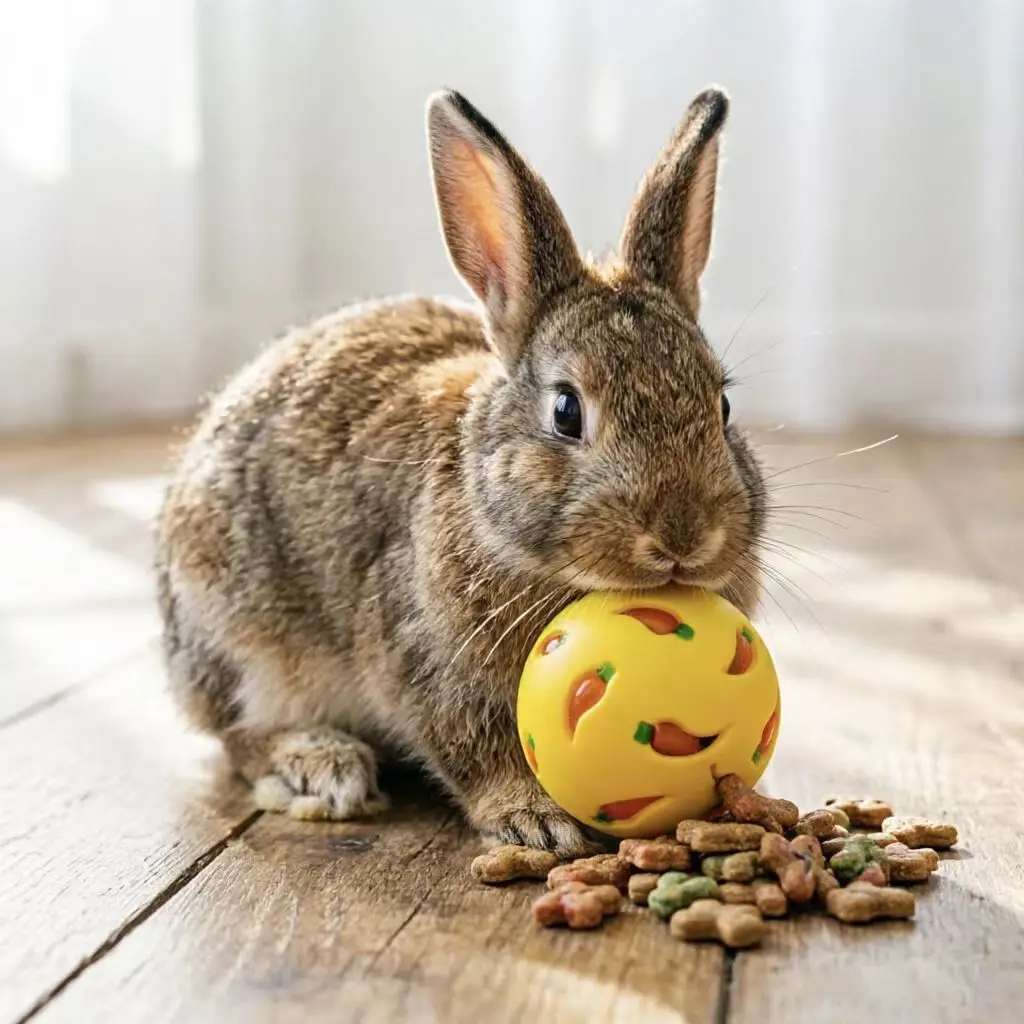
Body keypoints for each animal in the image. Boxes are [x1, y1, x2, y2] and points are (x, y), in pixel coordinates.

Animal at [154, 85, 767, 856]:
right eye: (566, 410)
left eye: (722, 403)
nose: (684, 537)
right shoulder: (423, 660)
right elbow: (471, 747)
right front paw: (532, 819)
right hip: (240, 637)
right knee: (238, 733)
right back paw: (322, 765)